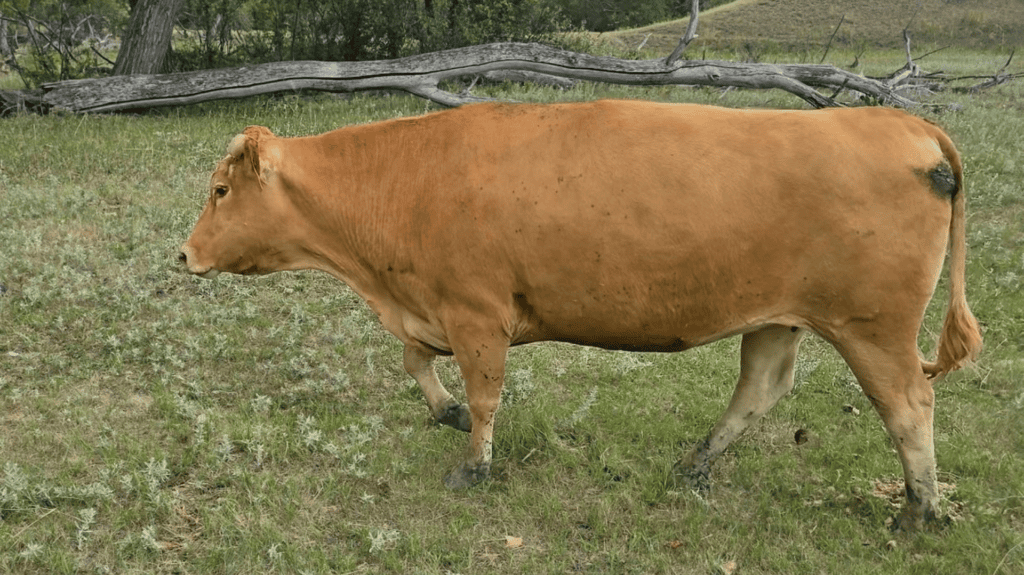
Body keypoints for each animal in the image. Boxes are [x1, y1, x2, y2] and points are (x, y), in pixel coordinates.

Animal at [179, 99, 982, 530]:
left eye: (221, 189)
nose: (183, 254)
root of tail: (901, 122)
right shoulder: (433, 310)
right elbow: (417, 361)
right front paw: (442, 412)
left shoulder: (476, 312)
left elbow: (484, 393)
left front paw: (474, 462)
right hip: (777, 316)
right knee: (761, 387)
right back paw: (696, 464)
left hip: (874, 328)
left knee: (909, 406)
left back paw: (918, 509)